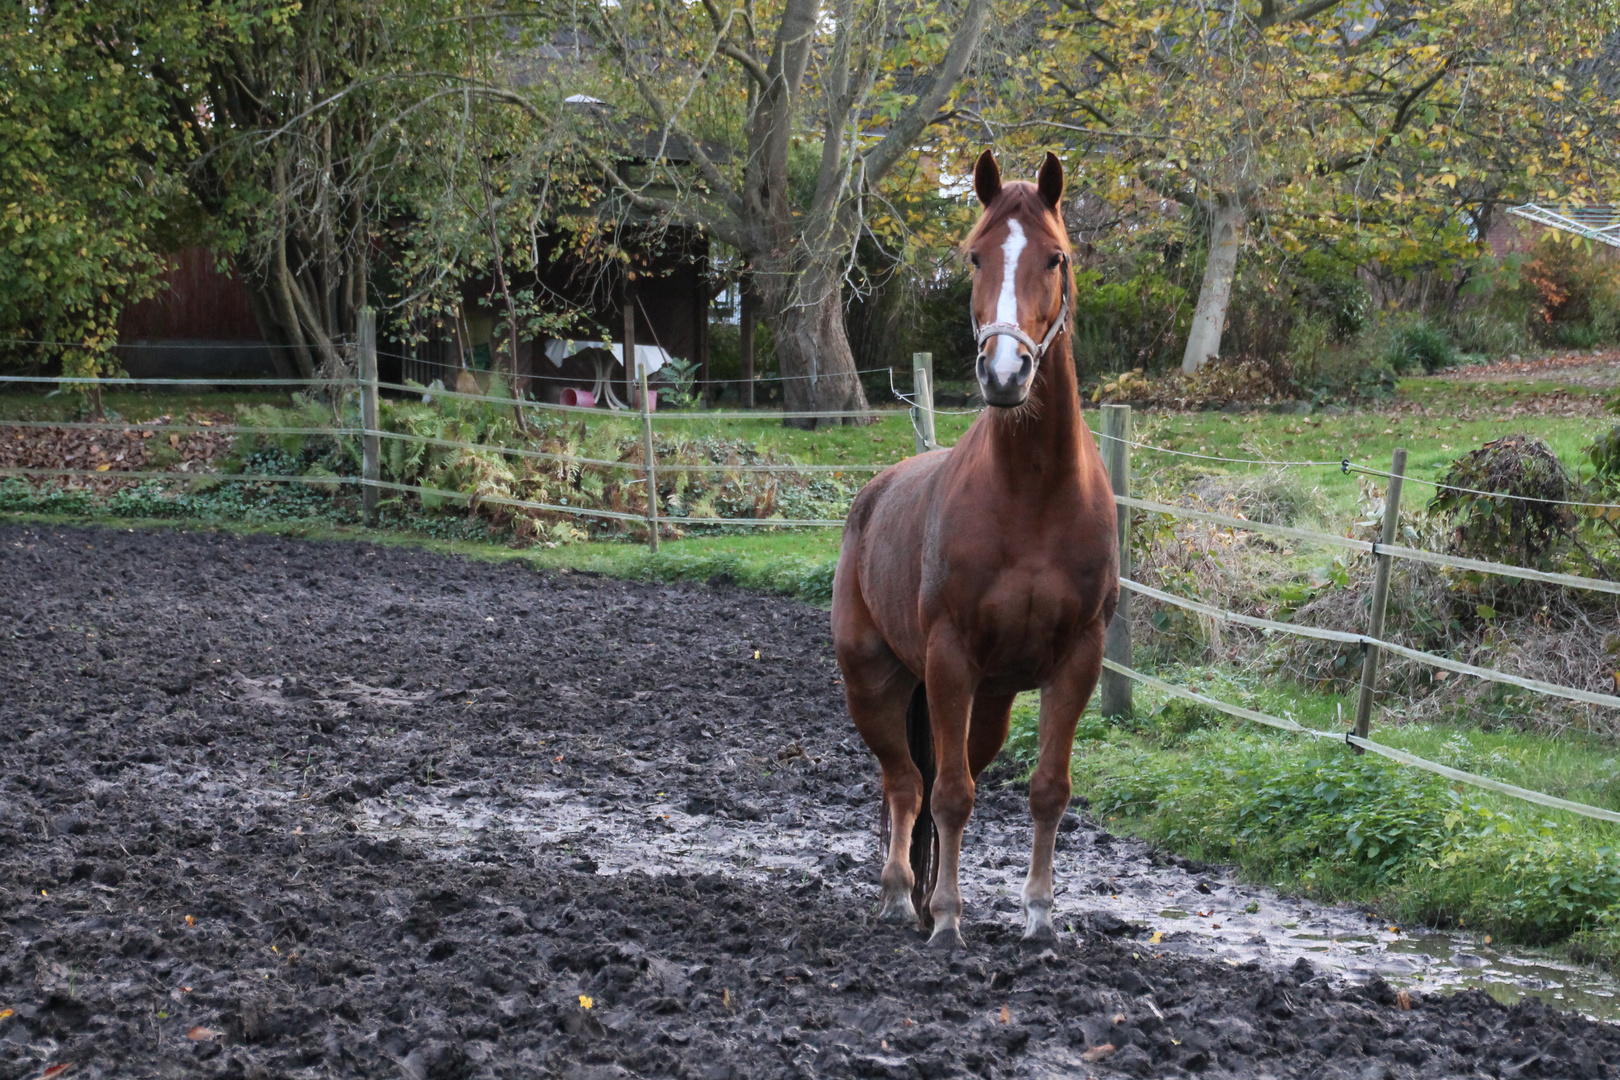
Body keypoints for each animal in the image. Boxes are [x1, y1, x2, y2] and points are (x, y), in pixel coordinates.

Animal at [829, 149, 1121, 945]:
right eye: (974, 256)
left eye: (1056, 257)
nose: (1004, 373)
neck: (1033, 497)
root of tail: (872, 497)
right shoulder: (949, 657)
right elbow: (951, 796)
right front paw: (949, 922)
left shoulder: (1078, 658)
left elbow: (1048, 789)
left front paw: (1040, 916)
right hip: (876, 684)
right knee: (905, 784)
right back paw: (904, 897)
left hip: (985, 703)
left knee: (930, 781)